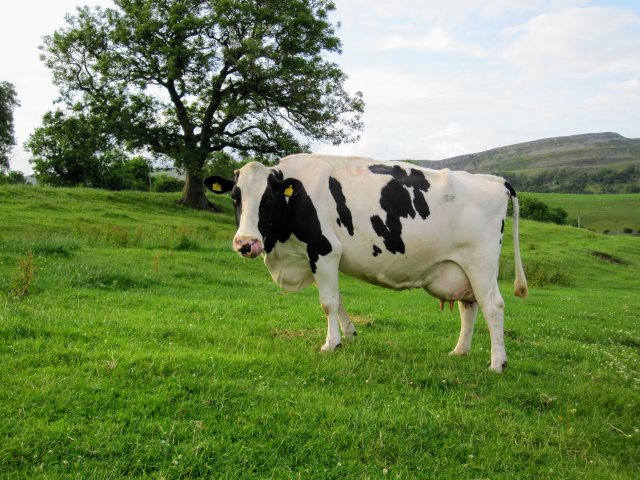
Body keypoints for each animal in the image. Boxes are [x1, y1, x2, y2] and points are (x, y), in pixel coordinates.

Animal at [208, 154, 528, 372]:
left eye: (268, 199)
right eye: (235, 197)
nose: (246, 243)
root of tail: (495, 179)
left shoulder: (324, 250)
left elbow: (327, 303)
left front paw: (330, 344)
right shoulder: (317, 258)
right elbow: (338, 299)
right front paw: (349, 334)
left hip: (481, 262)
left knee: (493, 306)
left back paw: (497, 363)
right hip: (461, 267)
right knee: (469, 307)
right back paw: (459, 351)